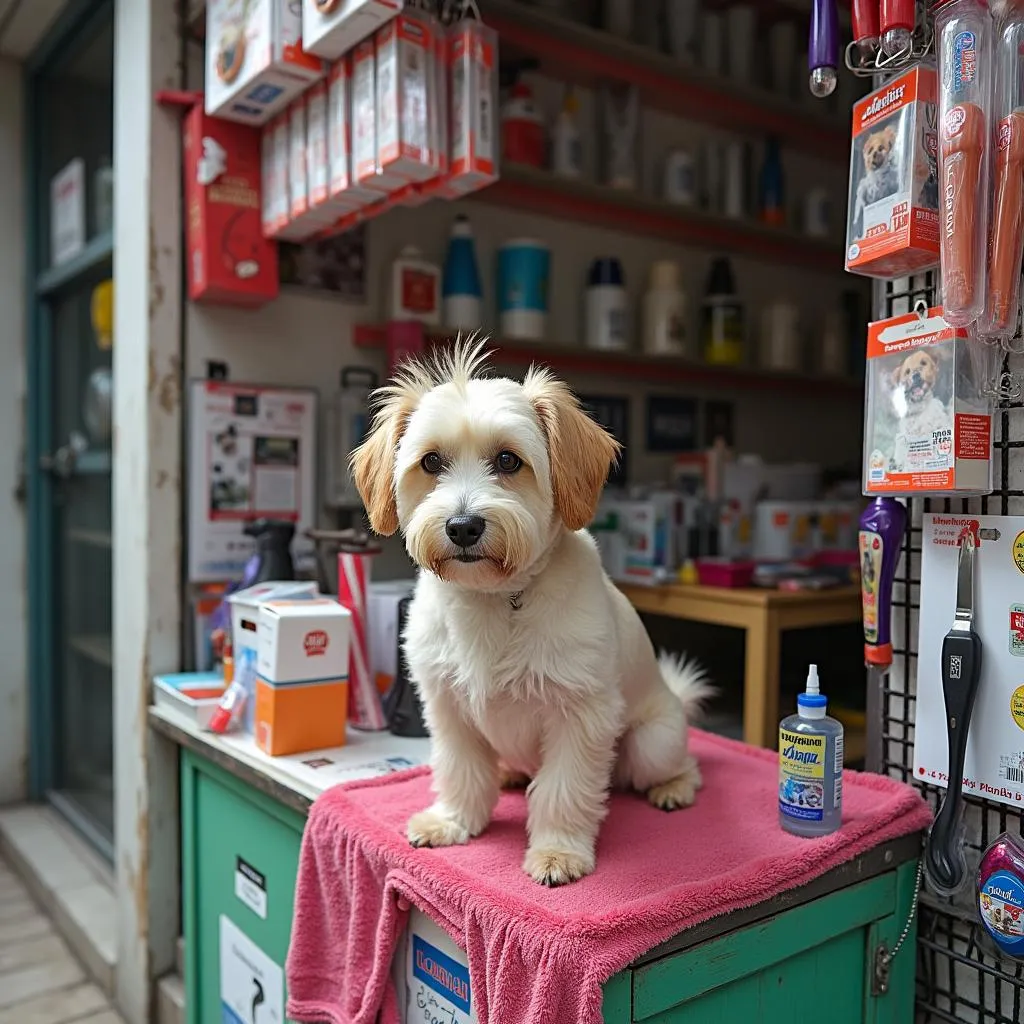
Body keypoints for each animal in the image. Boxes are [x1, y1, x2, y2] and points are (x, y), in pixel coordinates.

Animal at [350, 339, 704, 884]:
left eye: (508, 460)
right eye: (431, 462)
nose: (463, 526)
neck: (492, 600)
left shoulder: (580, 716)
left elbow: (563, 791)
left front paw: (558, 851)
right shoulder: (447, 708)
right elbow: (459, 770)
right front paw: (453, 821)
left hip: (651, 744)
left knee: (686, 768)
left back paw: (675, 788)